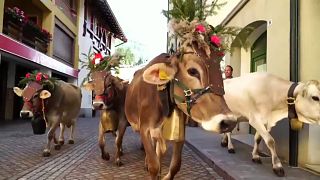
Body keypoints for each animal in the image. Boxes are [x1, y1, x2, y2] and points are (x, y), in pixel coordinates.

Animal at [125, 46, 238, 180]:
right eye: (192, 71)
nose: (229, 122)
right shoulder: (145, 128)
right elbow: (153, 166)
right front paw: (152, 166)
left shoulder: (179, 131)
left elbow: (175, 165)